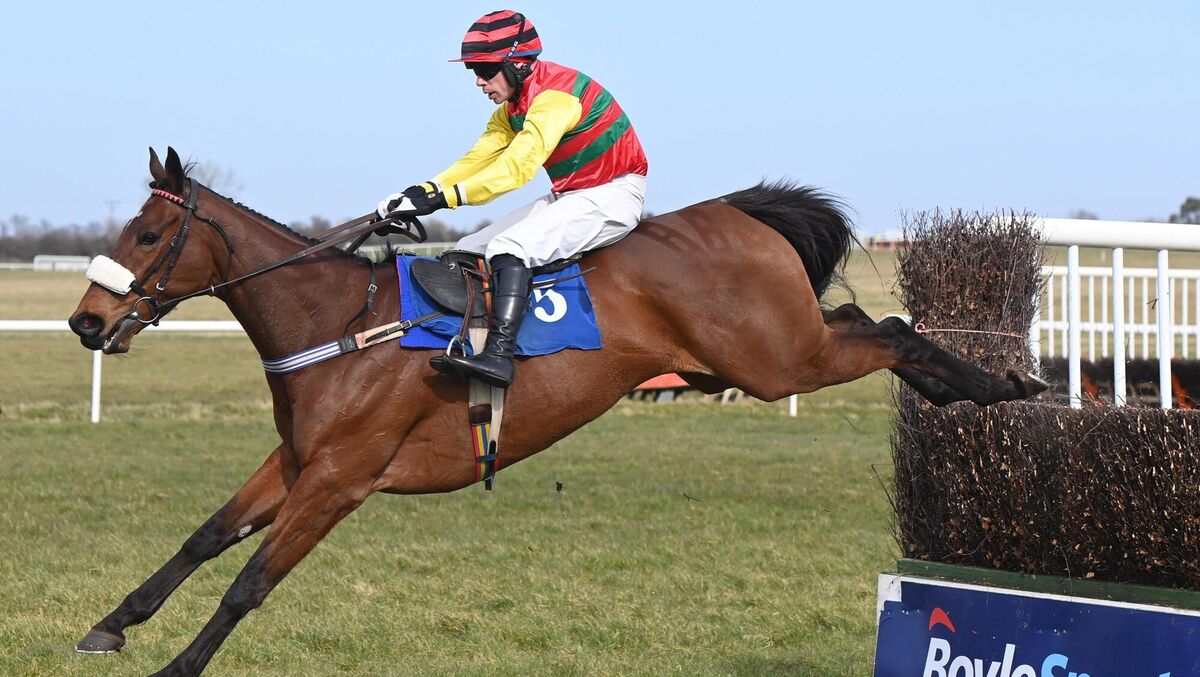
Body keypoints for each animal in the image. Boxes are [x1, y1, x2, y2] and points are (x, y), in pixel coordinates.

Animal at [67, 147, 1046, 676]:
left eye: (147, 234)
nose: (86, 321)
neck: (338, 326)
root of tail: (736, 212)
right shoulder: (298, 460)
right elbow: (204, 538)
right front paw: (111, 623)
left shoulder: (342, 478)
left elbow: (250, 580)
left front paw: (181, 661)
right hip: (755, 358)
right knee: (867, 323)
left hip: (776, 361)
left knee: (887, 328)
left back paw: (1001, 387)